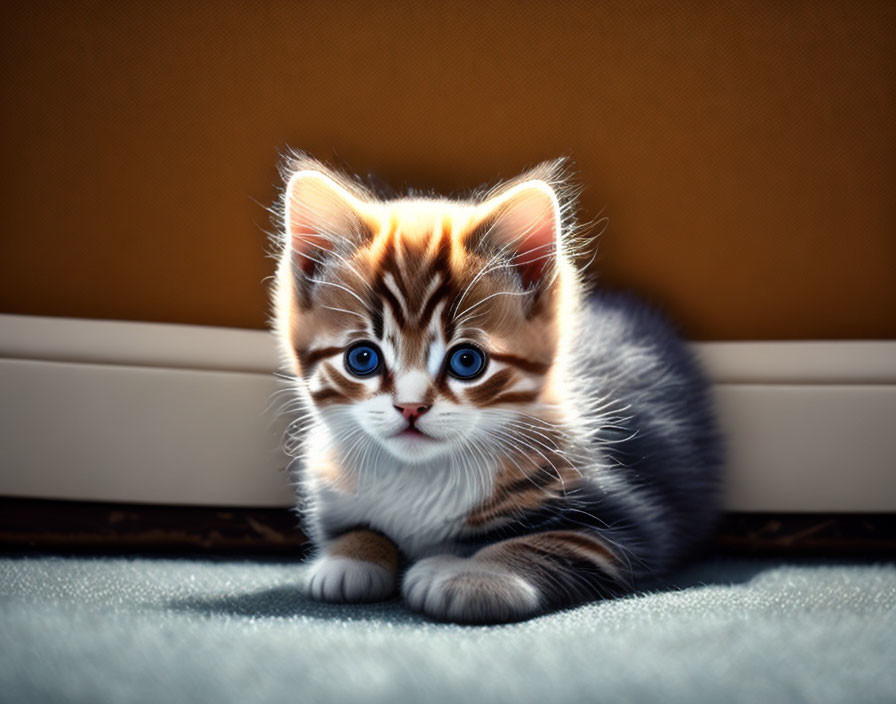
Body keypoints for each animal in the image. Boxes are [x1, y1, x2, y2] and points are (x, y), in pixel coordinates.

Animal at [272, 154, 720, 620]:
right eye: (362, 359)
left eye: (467, 362)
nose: (411, 408)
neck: (421, 473)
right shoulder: (329, 488)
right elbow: (354, 527)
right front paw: (348, 559)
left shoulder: (623, 520)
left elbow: (537, 544)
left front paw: (473, 574)